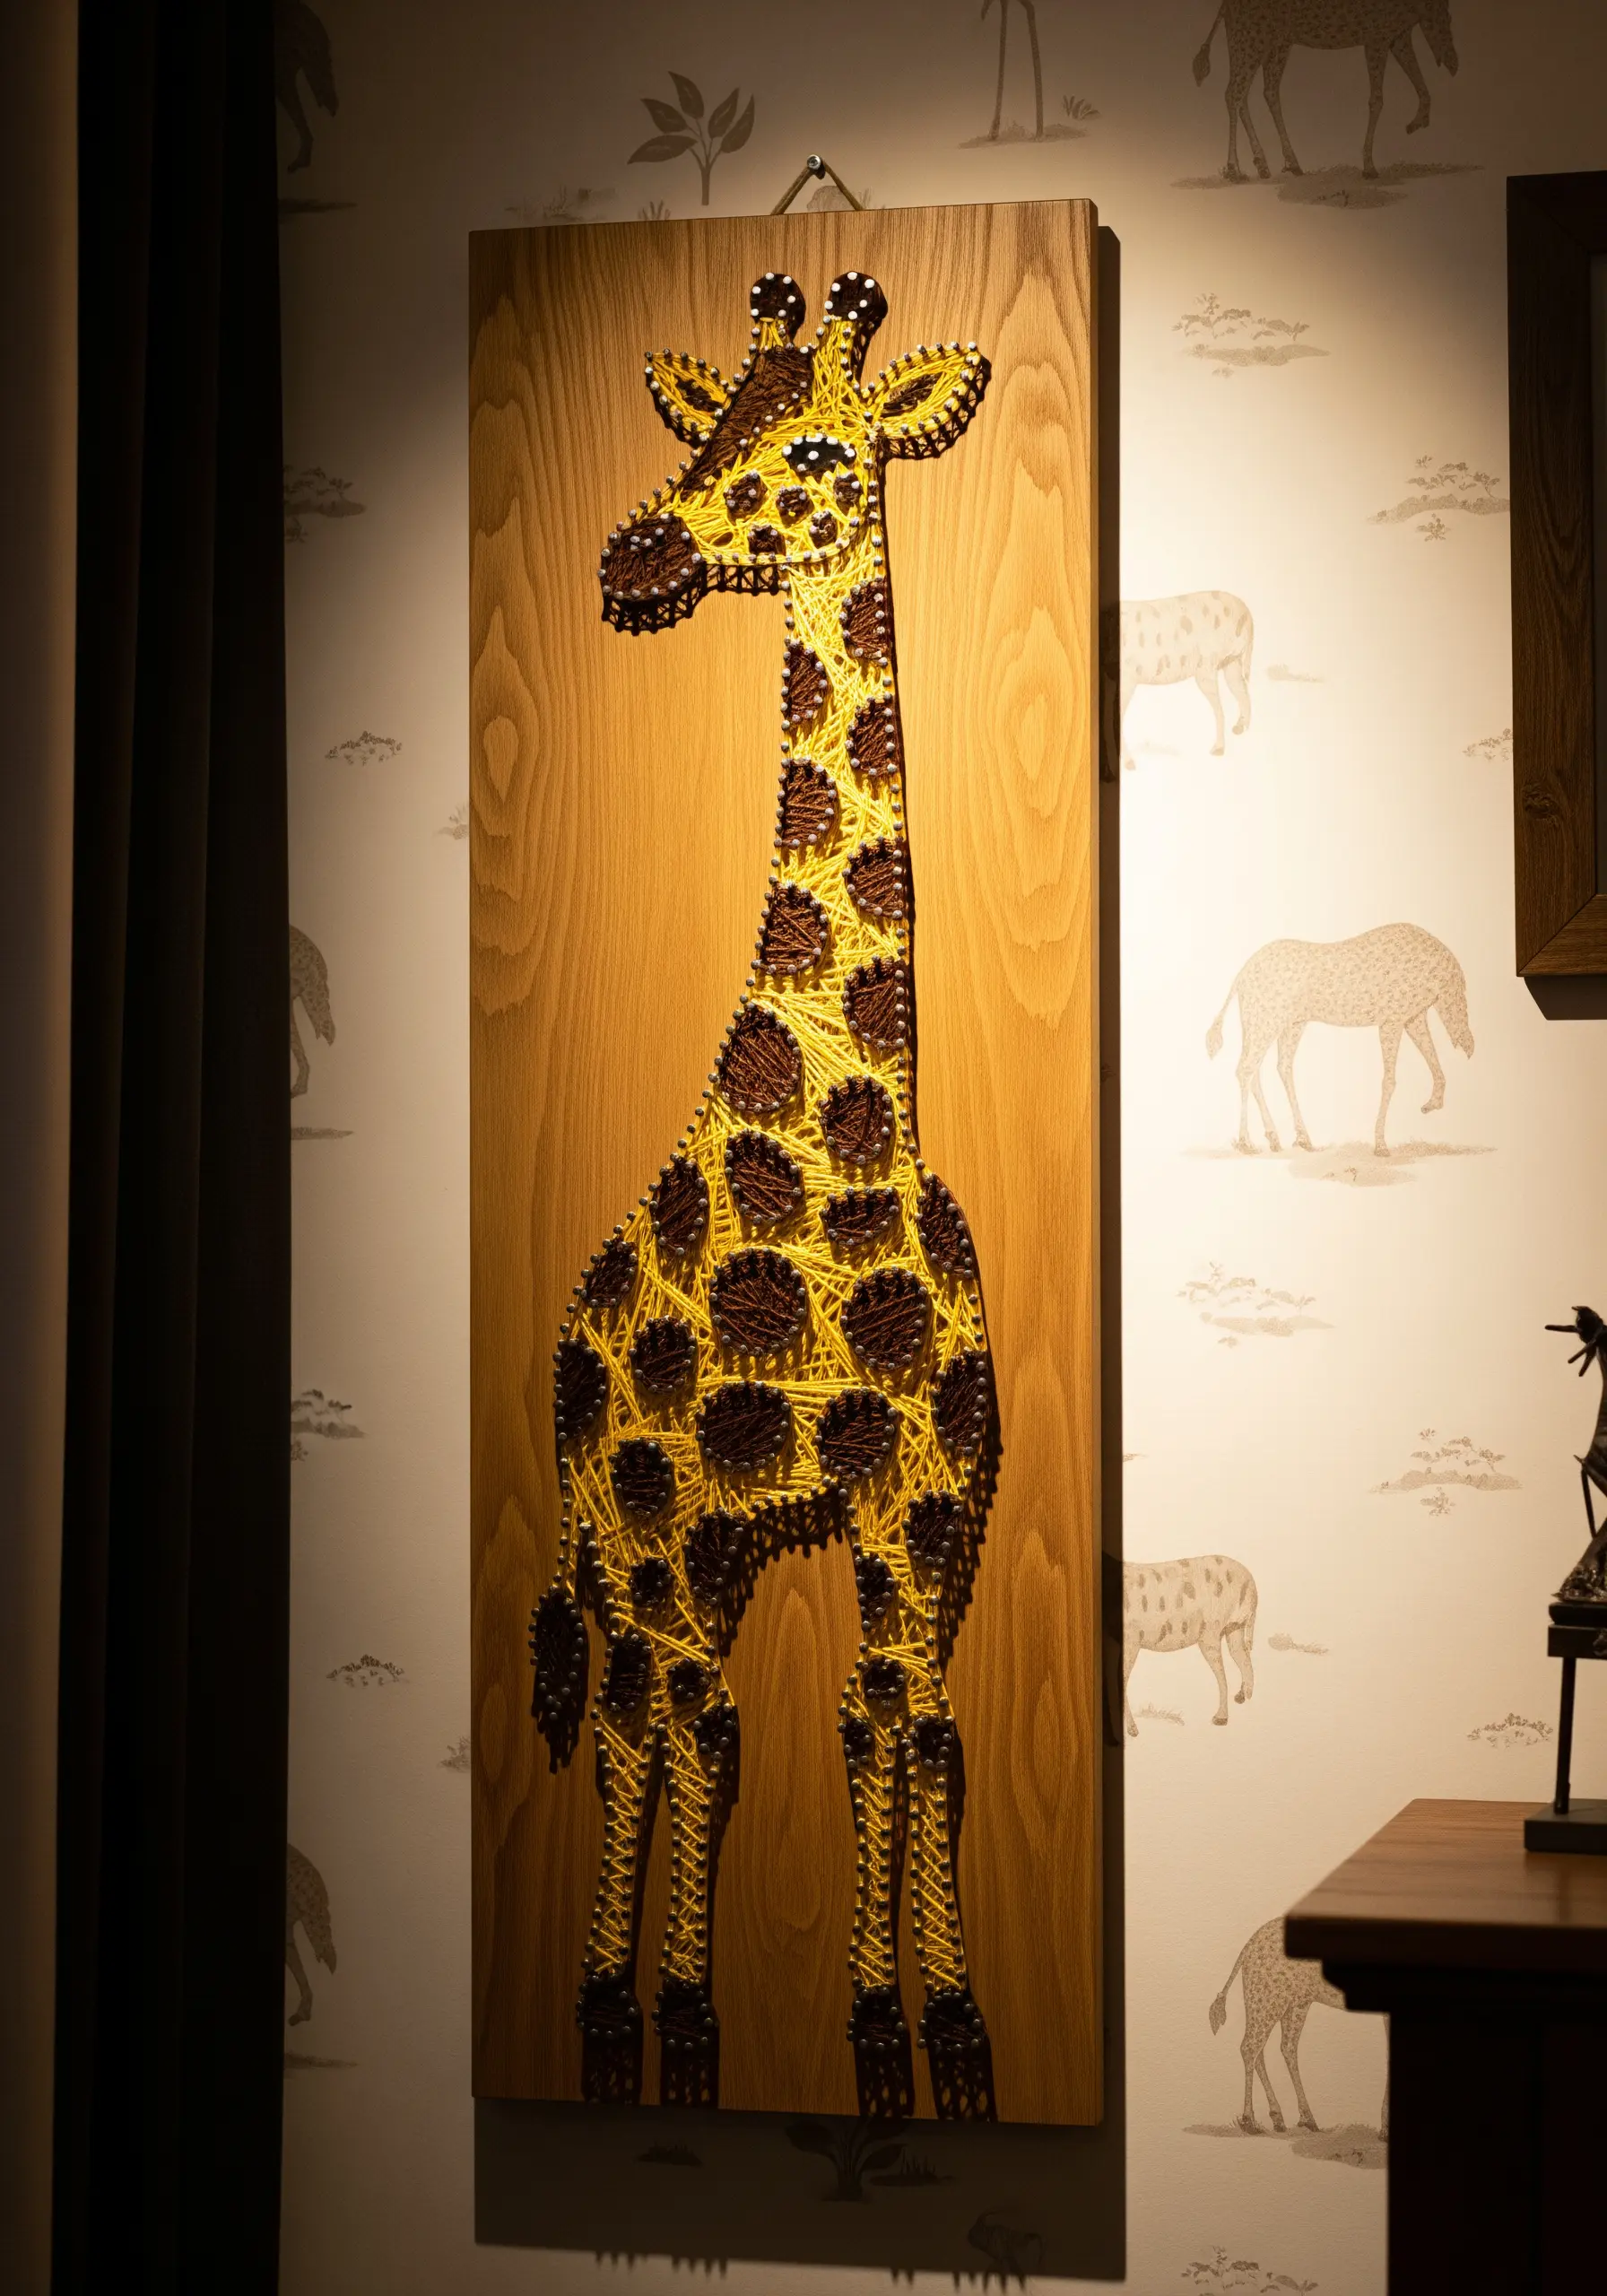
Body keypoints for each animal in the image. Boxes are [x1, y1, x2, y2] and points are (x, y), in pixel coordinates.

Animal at [529, 268, 999, 2122]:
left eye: (806, 450)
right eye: (704, 429)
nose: (633, 558)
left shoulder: (921, 1502)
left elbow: (903, 1717)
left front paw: (936, 2037)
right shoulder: (735, 1521)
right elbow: (771, 1726)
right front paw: (802, 2027)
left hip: (701, 1544)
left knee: (679, 1711)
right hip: (640, 1529)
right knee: (654, 1716)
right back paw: (622, 2014)